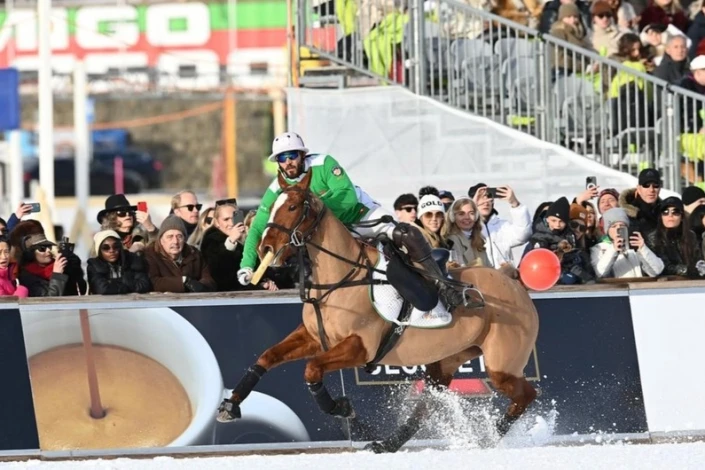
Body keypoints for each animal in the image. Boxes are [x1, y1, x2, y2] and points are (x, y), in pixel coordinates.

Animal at [217, 172, 536, 452]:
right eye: (271, 206)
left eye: (293, 207)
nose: (265, 248)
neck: (340, 278)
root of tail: (515, 284)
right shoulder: (313, 337)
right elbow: (267, 357)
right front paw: (230, 405)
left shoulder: (361, 347)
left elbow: (312, 369)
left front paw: (340, 406)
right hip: (447, 360)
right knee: (427, 404)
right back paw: (387, 444)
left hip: (501, 365)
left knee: (526, 395)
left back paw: (489, 436)